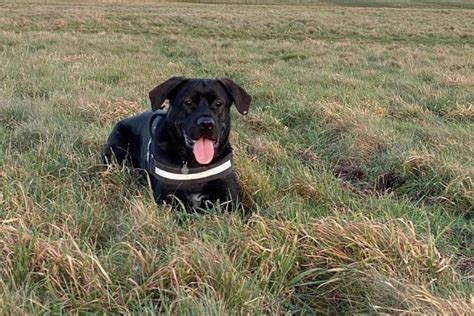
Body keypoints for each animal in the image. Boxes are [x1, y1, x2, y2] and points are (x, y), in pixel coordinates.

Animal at [102, 76, 252, 210]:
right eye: (188, 102)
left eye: (218, 103)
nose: (206, 124)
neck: (194, 164)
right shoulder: (167, 199)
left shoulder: (229, 199)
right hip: (116, 150)